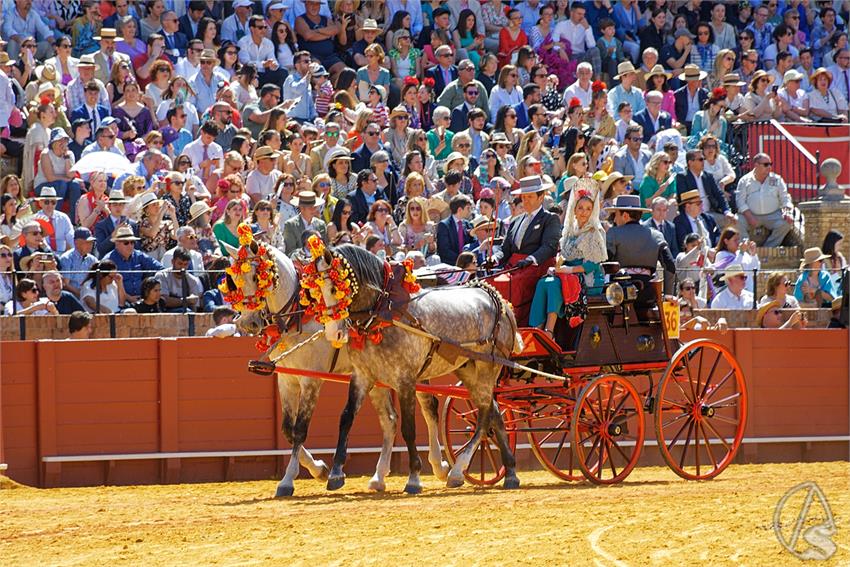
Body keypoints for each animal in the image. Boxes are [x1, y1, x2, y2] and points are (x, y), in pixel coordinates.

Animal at [225, 242, 448, 494]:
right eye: (233, 280)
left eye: (255, 276)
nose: (247, 323)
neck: (298, 315)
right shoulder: (287, 380)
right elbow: (287, 429)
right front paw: (320, 470)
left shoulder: (311, 381)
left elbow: (300, 428)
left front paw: (288, 479)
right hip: (377, 376)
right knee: (390, 419)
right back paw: (379, 476)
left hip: (414, 372)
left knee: (429, 408)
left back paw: (440, 467)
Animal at [314, 244, 524, 492]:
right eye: (316, 292)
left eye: (335, 288)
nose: (333, 333)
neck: (385, 310)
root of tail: (499, 301)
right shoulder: (363, 376)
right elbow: (346, 419)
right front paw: (336, 473)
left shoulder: (405, 380)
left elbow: (408, 428)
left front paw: (414, 477)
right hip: (469, 370)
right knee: (494, 413)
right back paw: (510, 472)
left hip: (488, 367)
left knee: (483, 417)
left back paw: (458, 470)